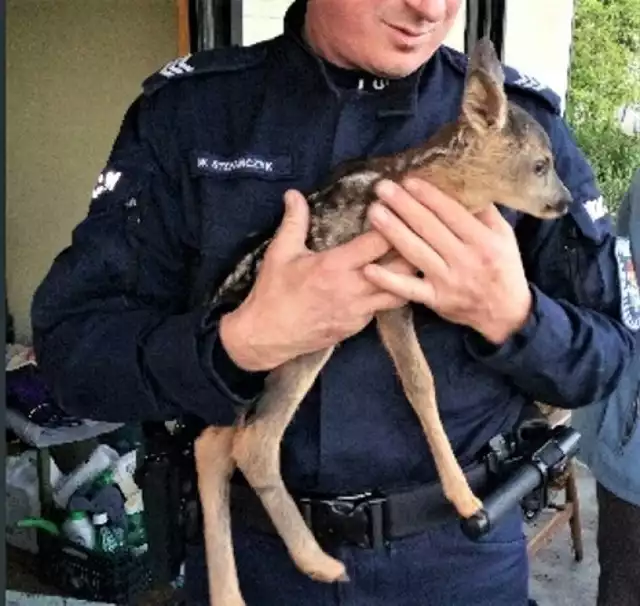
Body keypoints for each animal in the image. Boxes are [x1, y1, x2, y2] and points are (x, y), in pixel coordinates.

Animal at [192, 38, 572, 606]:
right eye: (541, 164)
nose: (566, 203)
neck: (429, 181)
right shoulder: (386, 285)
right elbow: (421, 380)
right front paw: (465, 498)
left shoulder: (395, 292)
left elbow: (418, 380)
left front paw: (462, 493)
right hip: (306, 338)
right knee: (252, 443)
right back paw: (319, 563)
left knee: (212, 444)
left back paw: (231, 594)